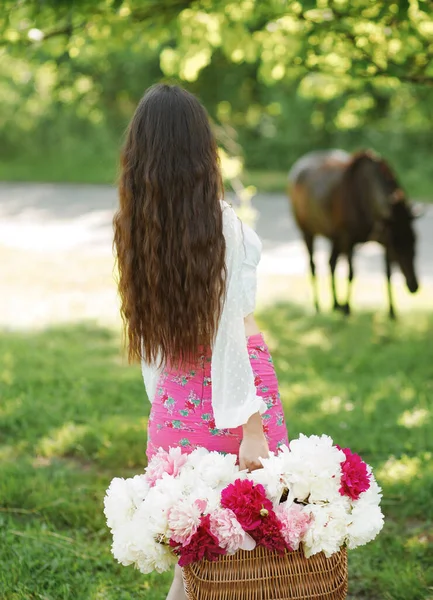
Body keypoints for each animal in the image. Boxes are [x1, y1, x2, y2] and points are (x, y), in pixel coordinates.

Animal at [286, 150, 418, 318]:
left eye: (414, 241)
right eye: (397, 246)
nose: (414, 286)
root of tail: (297, 167)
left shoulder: (381, 238)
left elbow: (388, 274)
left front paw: (391, 310)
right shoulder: (348, 238)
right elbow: (351, 274)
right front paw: (347, 308)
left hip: (334, 237)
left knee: (331, 262)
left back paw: (336, 303)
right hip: (307, 231)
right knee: (313, 265)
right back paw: (318, 305)